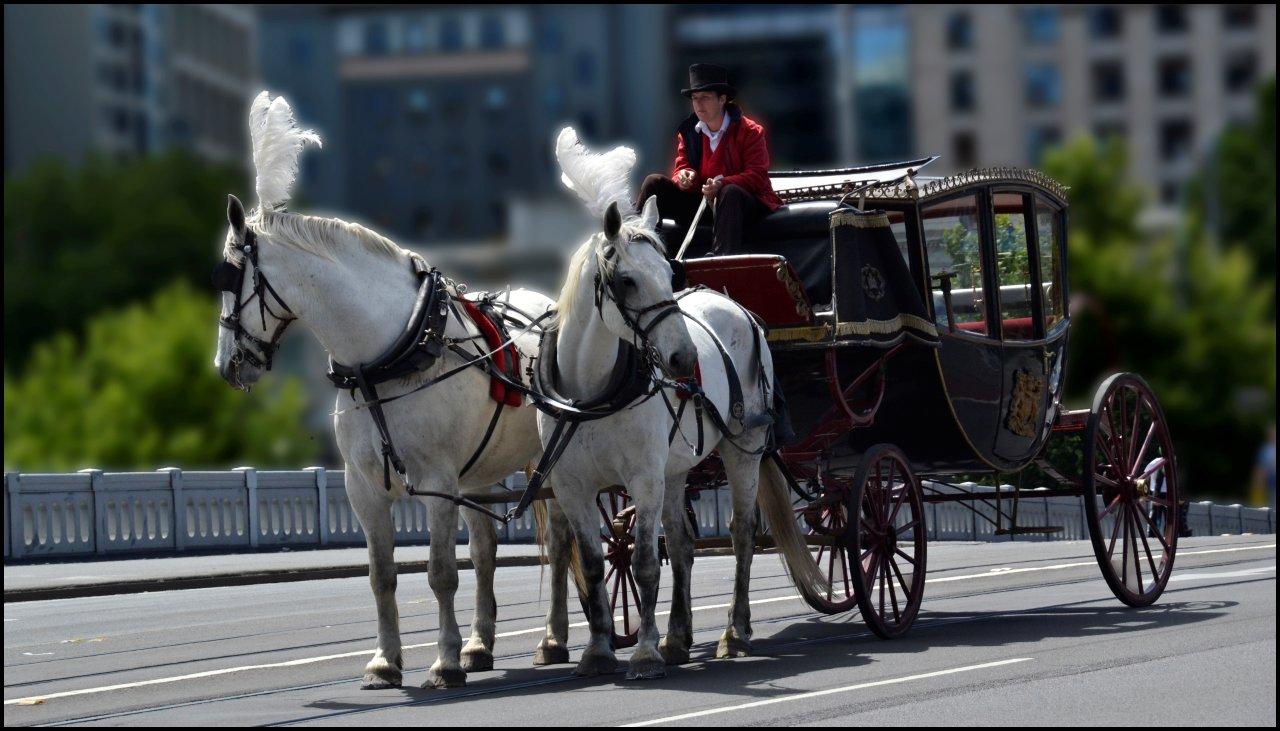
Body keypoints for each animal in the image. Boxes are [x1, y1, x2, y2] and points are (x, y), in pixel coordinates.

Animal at [212, 92, 573, 691]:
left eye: (228, 276)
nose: (226, 365)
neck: (382, 355)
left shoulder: (436, 484)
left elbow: (440, 572)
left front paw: (444, 661)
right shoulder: (364, 489)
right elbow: (382, 575)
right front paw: (387, 661)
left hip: (550, 462)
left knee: (567, 540)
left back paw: (555, 637)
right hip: (480, 473)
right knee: (487, 549)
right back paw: (481, 644)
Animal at [537, 129, 819, 681]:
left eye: (670, 274)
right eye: (626, 281)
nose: (684, 359)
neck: (591, 391)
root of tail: (732, 301)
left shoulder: (643, 477)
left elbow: (645, 562)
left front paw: (644, 653)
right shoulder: (573, 486)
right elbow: (596, 562)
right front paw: (599, 650)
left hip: (743, 448)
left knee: (740, 533)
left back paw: (734, 631)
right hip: (676, 468)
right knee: (684, 542)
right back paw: (678, 637)